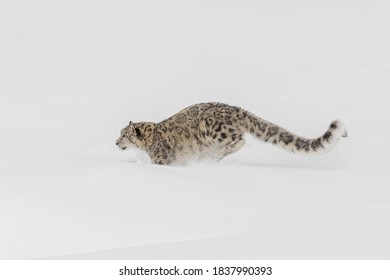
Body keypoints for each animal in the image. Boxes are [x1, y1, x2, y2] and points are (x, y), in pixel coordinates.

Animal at [116, 102, 348, 164]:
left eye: (124, 135)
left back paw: (218, 155)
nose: (116, 143)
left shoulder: (163, 159)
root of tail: (236, 109)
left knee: (239, 140)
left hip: (212, 129)